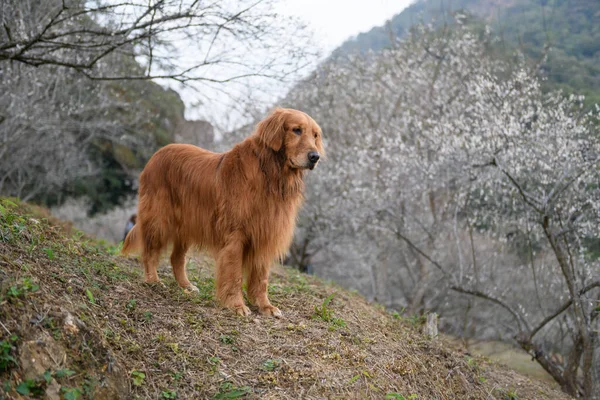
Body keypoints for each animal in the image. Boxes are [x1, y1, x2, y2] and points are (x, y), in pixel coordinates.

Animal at [121, 108, 324, 318]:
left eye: (315, 135)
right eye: (296, 130)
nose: (315, 157)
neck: (270, 174)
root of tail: (157, 154)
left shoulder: (264, 235)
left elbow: (261, 277)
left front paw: (264, 305)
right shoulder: (235, 235)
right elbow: (234, 273)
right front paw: (236, 305)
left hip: (186, 224)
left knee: (176, 258)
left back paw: (186, 285)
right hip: (159, 219)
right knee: (150, 252)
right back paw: (153, 280)